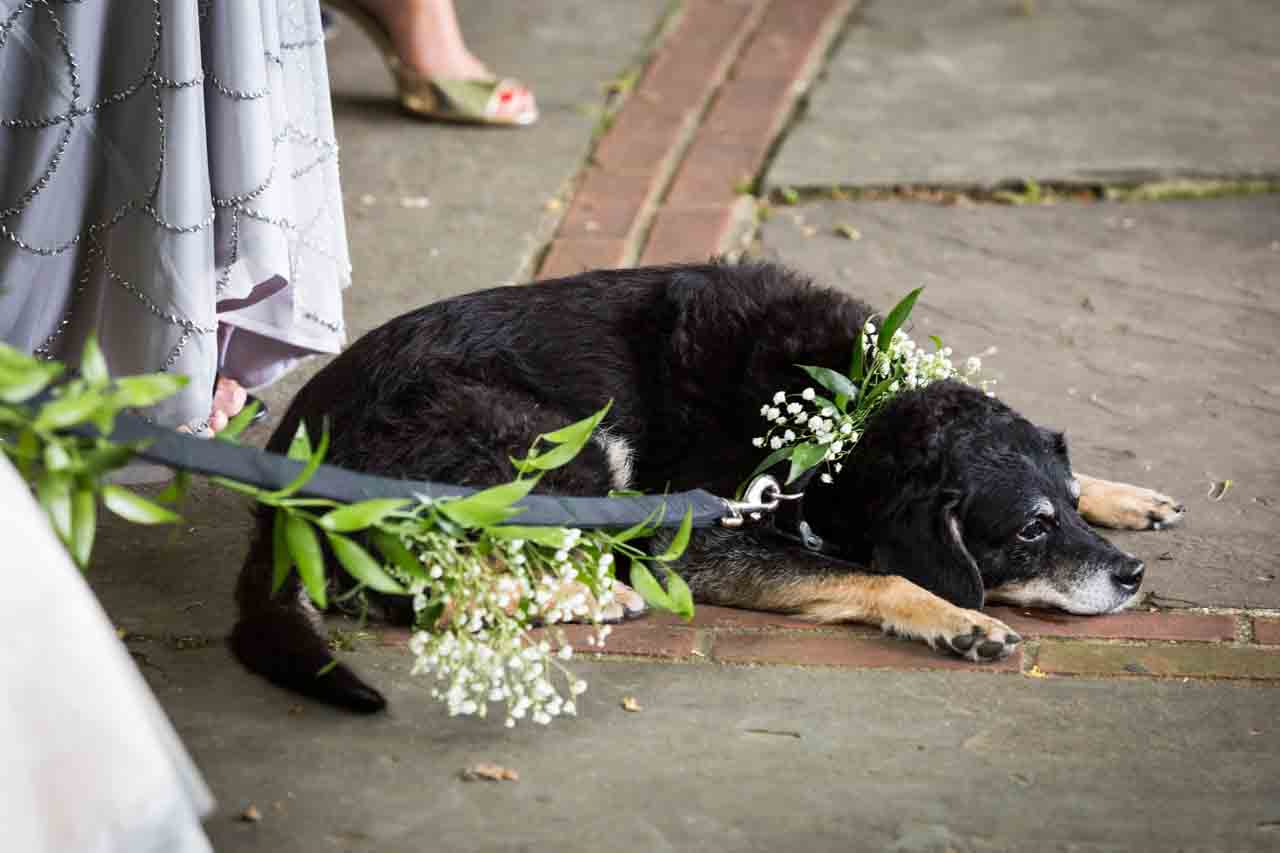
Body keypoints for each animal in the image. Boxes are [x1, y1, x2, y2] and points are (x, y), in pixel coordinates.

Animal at [230, 261, 1177, 712]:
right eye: (1028, 529)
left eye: (1062, 504)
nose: (1131, 576)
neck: (845, 415)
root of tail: (287, 466)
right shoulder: (697, 537)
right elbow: (876, 572)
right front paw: (958, 617)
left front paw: (1125, 493)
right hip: (573, 449)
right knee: (418, 589)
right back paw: (588, 595)